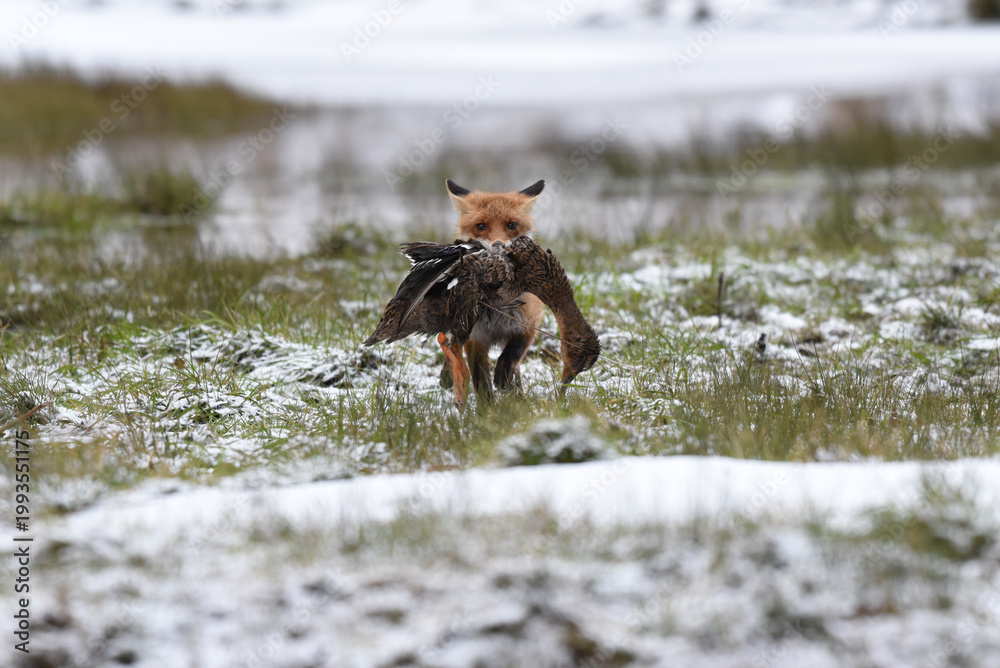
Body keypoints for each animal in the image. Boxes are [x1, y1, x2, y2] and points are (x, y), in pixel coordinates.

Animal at [444, 178, 546, 398]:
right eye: (481, 226)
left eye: (512, 225)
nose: (499, 245)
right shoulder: (475, 338)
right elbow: (480, 378)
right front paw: (487, 405)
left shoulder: (527, 324)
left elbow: (511, 356)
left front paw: (504, 378)